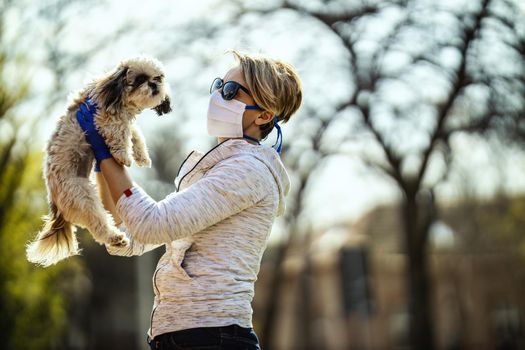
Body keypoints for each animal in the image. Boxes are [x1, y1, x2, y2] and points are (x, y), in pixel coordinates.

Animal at [26, 56, 171, 266]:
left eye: (158, 77)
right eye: (140, 79)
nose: (154, 84)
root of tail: (55, 205)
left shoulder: (121, 120)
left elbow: (134, 133)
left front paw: (141, 155)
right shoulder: (103, 118)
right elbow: (121, 131)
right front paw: (124, 155)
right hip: (83, 197)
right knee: (98, 224)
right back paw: (115, 238)